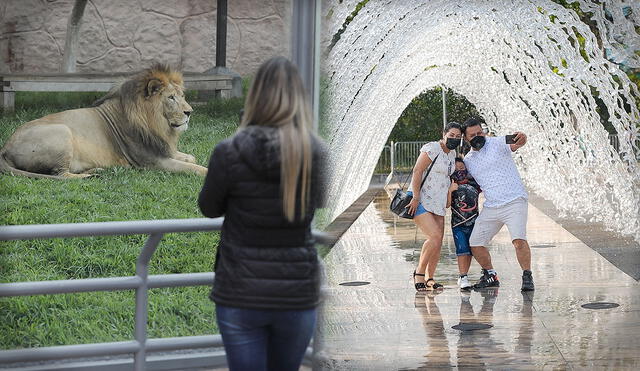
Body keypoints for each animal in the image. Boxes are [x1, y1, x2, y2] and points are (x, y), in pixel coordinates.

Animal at [0, 64, 206, 180]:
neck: (158, 124)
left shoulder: (162, 149)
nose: (189, 112)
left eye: (182, 96)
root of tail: (5, 147)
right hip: (62, 131)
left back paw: (96, 169)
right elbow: (192, 167)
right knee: (60, 175)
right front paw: (205, 172)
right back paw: (90, 175)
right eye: (171, 98)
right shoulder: (152, 161)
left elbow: (190, 158)